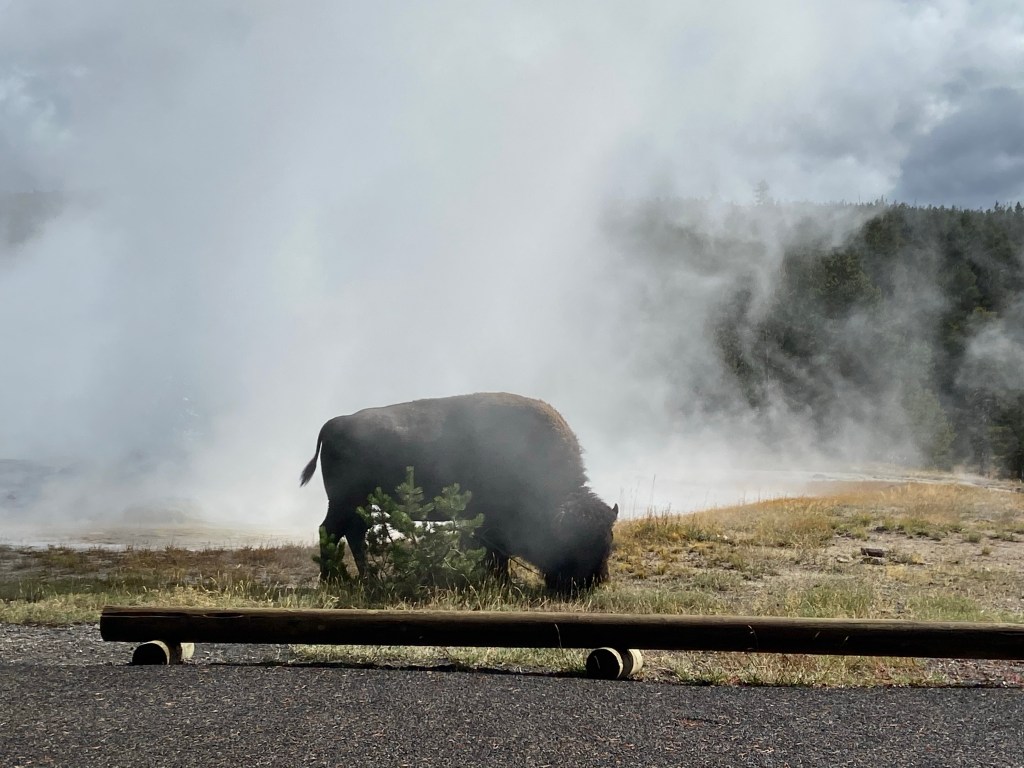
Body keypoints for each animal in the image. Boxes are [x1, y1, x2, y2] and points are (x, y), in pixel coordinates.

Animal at [300, 392, 617, 592]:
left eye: (608, 542)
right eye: (576, 542)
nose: (592, 583)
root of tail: (334, 423)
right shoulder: (491, 525)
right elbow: (495, 555)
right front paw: (501, 582)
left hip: (358, 504)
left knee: (354, 534)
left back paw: (366, 579)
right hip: (343, 501)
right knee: (330, 530)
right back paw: (332, 580)